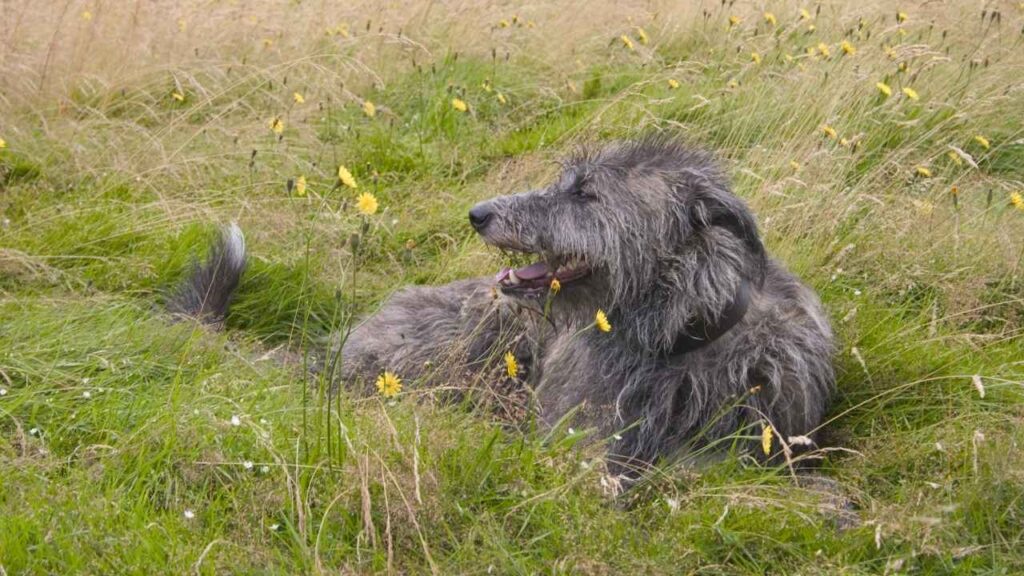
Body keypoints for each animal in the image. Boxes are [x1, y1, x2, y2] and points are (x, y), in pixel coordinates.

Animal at [174, 138, 831, 475]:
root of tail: (334, 352)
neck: (675, 336)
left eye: (585, 194)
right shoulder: (580, 436)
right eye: (568, 181)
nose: (478, 213)